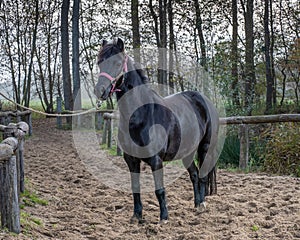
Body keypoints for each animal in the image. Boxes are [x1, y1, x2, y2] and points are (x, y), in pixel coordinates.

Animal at [95, 37, 219, 223]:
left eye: (117, 63)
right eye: (99, 62)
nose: (100, 91)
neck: (141, 115)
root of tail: (203, 99)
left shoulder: (156, 160)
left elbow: (159, 189)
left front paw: (164, 218)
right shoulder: (131, 160)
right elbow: (135, 187)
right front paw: (136, 216)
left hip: (205, 147)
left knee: (203, 174)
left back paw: (202, 205)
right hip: (187, 152)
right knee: (195, 174)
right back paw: (196, 204)